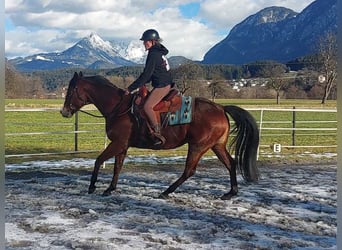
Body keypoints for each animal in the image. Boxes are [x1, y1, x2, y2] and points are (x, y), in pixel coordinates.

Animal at [61, 72, 260, 199]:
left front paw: (92, 186)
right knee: (230, 164)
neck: (119, 107)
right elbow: (117, 167)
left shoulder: (117, 143)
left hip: (198, 146)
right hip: (216, 145)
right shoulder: (122, 146)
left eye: (70, 90)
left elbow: (98, 161)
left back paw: (166, 192)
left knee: (189, 171)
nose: (64, 112)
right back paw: (231, 193)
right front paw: (110, 189)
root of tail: (220, 108)